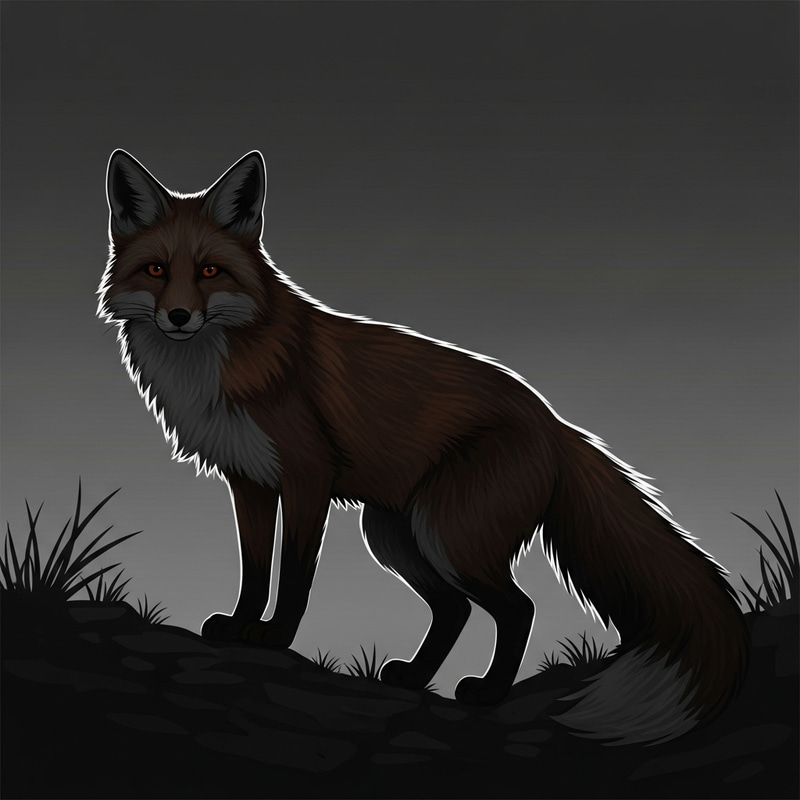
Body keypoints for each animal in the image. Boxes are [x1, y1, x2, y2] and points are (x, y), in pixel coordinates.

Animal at [98, 149, 748, 745]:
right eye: (156, 270)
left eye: (211, 272)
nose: (179, 317)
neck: (218, 368)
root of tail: (555, 422)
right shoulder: (251, 481)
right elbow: (254, 570)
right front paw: (238, 626)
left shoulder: (307, 476)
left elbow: (295, 575)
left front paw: (277, 638)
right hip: (395, 534)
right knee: (454, 609)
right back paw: (413, 677)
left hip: (449, 534)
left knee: (518, 608)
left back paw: (488, 693)